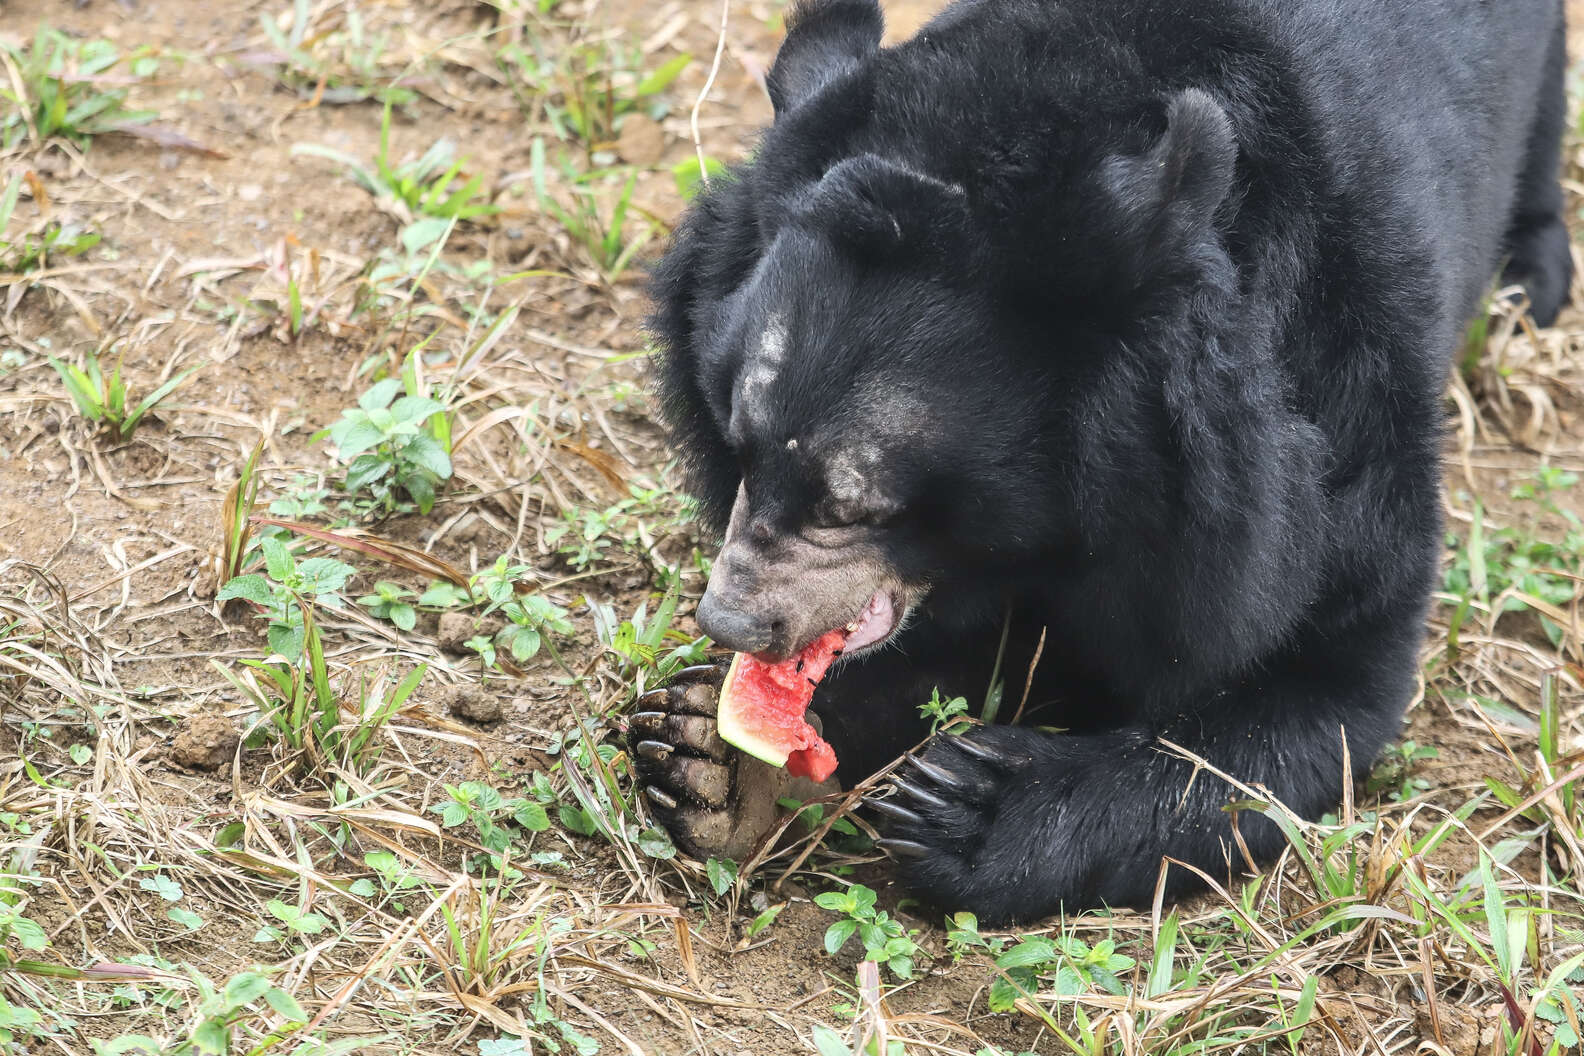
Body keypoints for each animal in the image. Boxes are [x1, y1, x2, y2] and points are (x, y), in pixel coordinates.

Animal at [630, 0, 1571, 918]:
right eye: (737, 442)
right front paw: (709, 754)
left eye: (852, 503)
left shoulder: (1334, 414)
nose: (732, 621)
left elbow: (1318, 688)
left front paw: (968, 807)